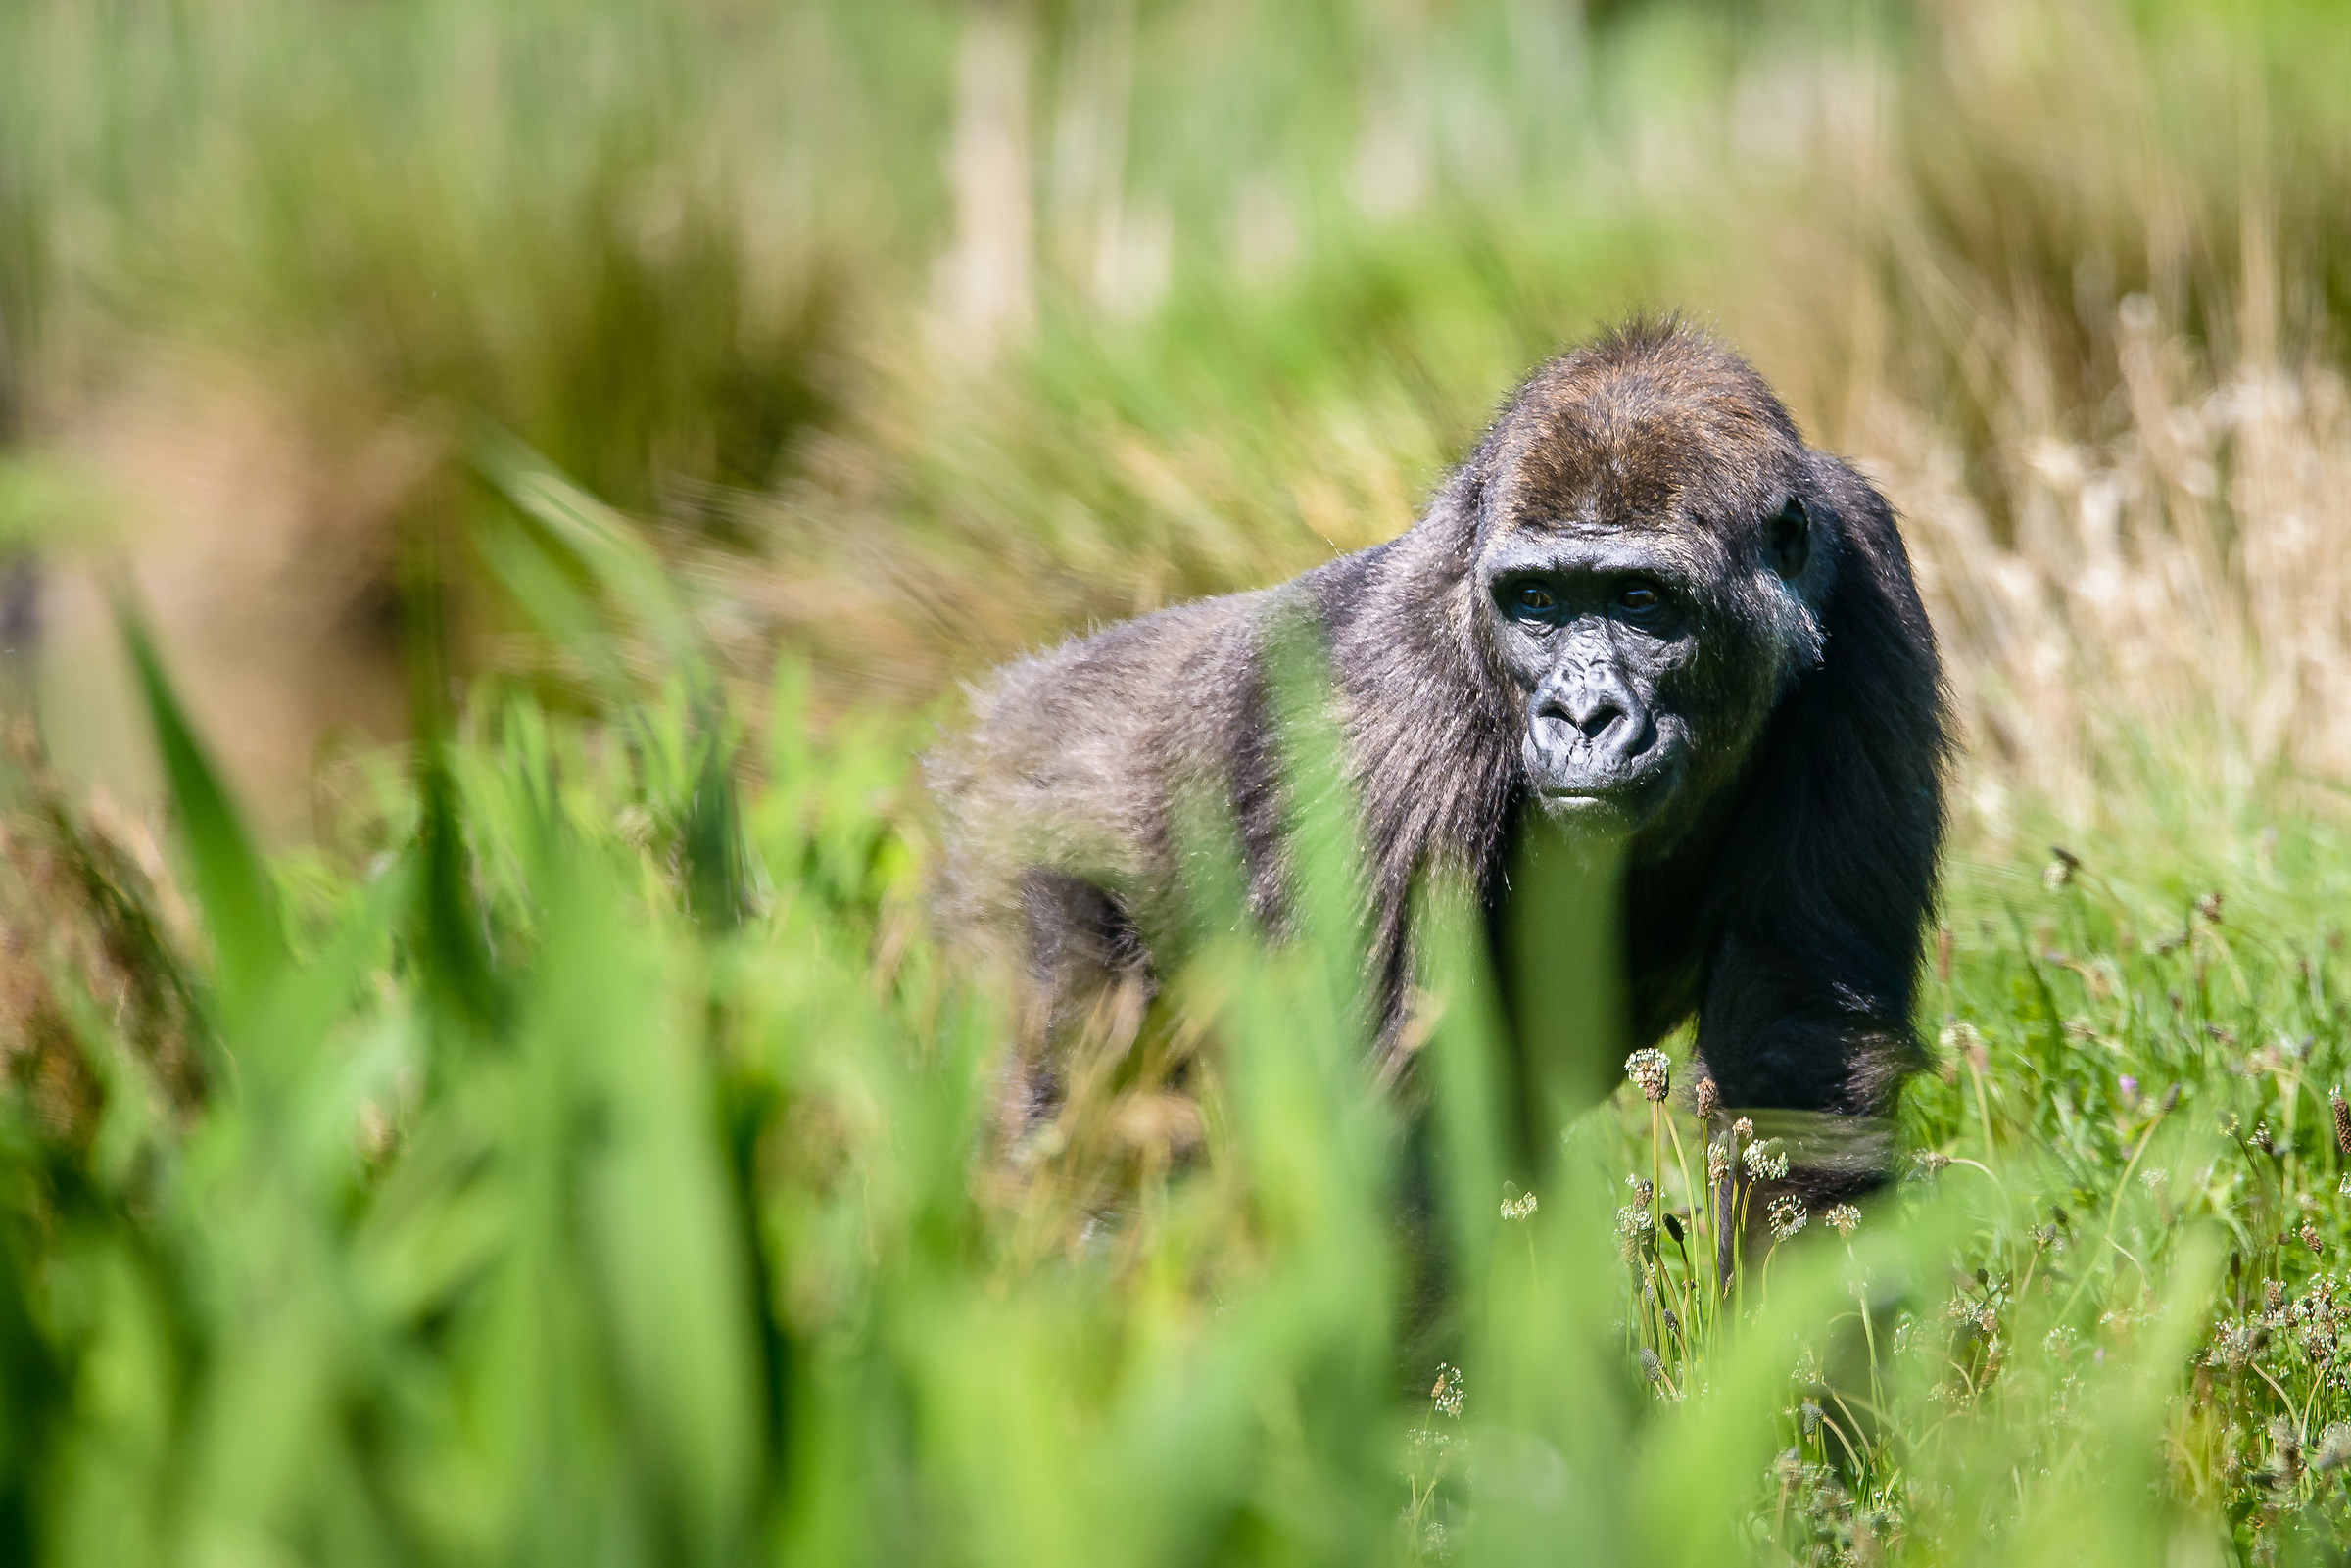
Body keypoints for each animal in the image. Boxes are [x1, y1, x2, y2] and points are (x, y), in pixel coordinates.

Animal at [929, 317, 1948, 1226]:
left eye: (1640, 599)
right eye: (1536, 600)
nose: (1582, 716)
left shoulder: (1869, 582)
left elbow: (1796, 1037)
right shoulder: (1389, 708)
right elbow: (1378, 1110)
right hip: (1008, 836)